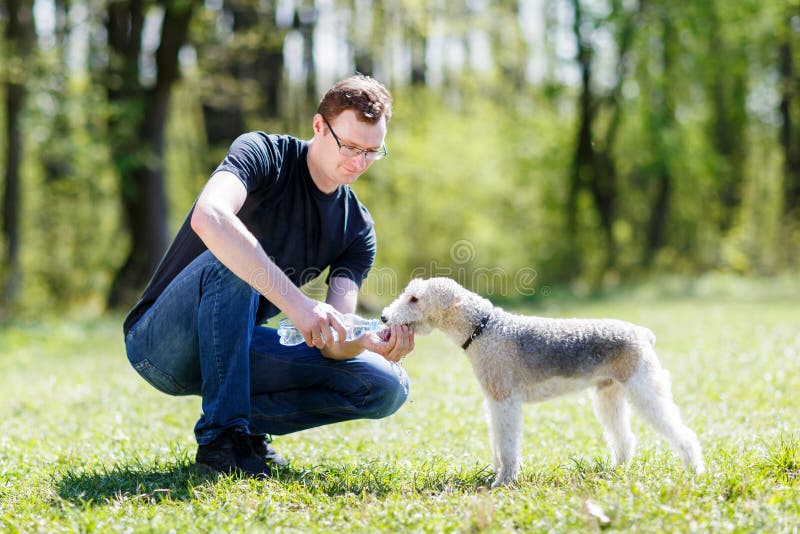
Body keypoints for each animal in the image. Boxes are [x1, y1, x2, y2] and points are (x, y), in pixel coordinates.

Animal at [382, 278, 708, 488]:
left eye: (414, 298)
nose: (384, 317)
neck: (483, 329)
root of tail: (642, 334)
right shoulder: (494, 402)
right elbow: (498, 445)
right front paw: (496, 475)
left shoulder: (505, 402)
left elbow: (508, 446)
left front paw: (504, 481)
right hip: (609, 395)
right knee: (624, 439)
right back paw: (617, 470)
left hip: (645, 389)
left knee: (684, 434)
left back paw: (695, 471)